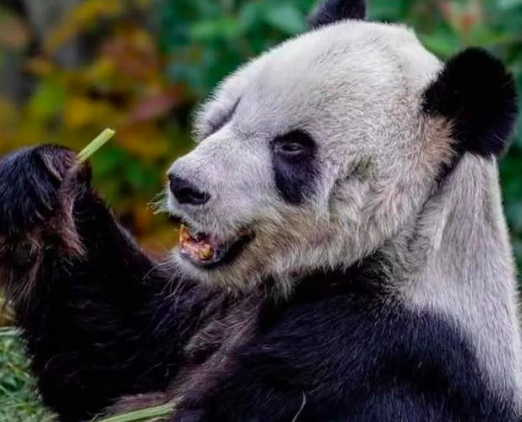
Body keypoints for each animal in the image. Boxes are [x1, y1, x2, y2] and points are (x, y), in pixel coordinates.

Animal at [1, 0, 520, 420]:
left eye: (292, 147)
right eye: (228, 114)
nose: (185, 185)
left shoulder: (380, 357)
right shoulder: (217, 301)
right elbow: (115, 349)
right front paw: (40, 179)